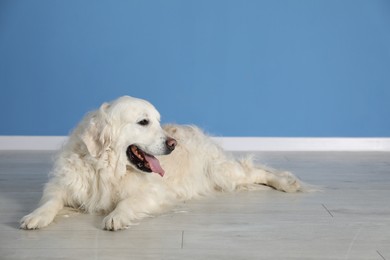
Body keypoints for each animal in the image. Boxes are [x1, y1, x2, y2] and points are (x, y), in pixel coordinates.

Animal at [19, 96, 304, 231]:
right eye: (144, 122)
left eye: (158, 120)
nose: (173, 143)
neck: (107, 169)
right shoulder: (63, 184)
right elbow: (51, 199)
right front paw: (35, 216)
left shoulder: (152, 192)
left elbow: (127, 202)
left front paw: (116, 217)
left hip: (221, 172)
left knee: (255, 170)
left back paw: (287, 182)